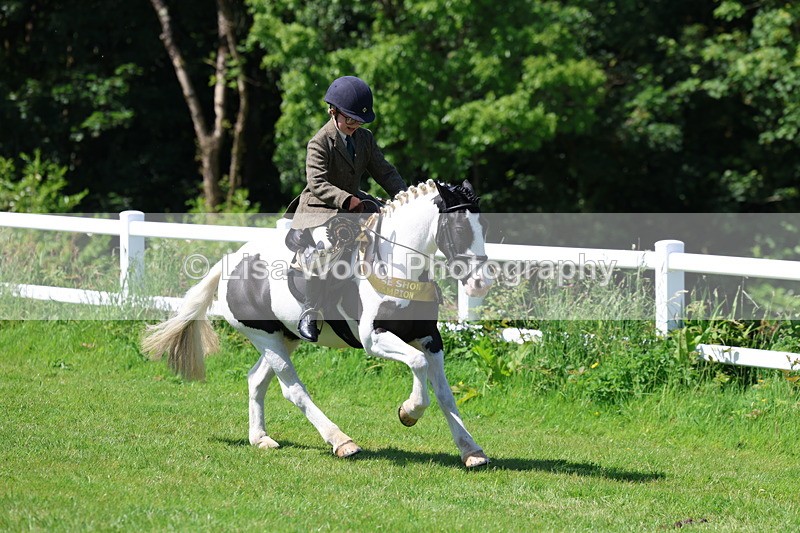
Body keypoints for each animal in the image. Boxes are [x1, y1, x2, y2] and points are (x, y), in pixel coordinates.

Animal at [141, 179, 495, 468]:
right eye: (460, 229)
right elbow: (418, 366)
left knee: (256, 379)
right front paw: (409, 412)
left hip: (284, 338)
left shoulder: (429, 338)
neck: (397, 266)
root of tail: (231, 262)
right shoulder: (375, 339)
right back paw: (342, 442)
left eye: (484, 227)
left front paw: (471, 451)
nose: (480, 284)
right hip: (265, 337)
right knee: (293, 390)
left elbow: (444, 392)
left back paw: (261, 439)